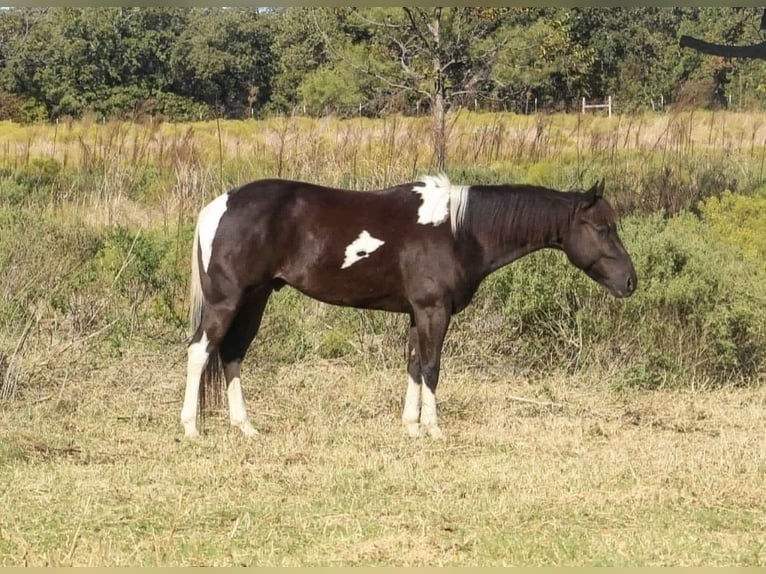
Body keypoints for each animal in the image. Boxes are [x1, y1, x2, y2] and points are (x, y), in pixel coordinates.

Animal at [181, 174, 637, 439]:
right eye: (602, 227)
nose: (630, 282)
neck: (459, 231)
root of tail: (218, 206)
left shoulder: (418, 313)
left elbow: (415, 365)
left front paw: (411, 426)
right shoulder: (434, 310)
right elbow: (432, 367)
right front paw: (433, 429)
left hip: (256, 298)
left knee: (233, 353)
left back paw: (246, 427)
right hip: (228, 300)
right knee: (201, 351)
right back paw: (191, 428)